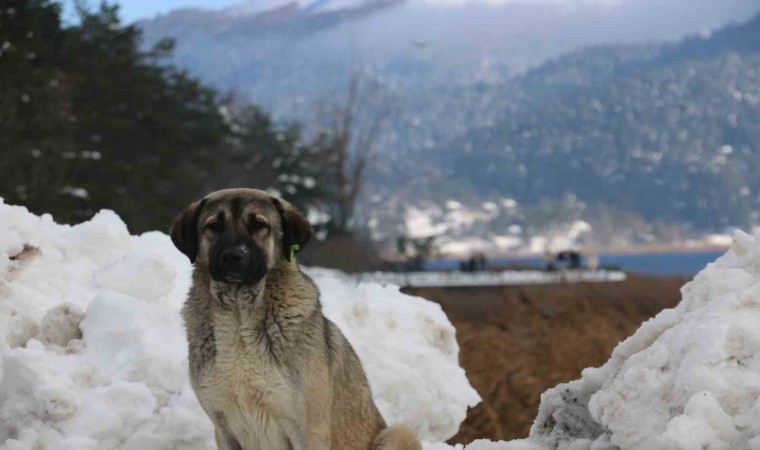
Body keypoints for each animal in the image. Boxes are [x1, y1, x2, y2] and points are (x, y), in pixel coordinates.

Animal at [170, 189, 422, 450]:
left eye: (259, 224)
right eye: (214, 226)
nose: (232, 256)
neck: (239, 314)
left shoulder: (307, 429)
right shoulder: (223, 428)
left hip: (397, 434)